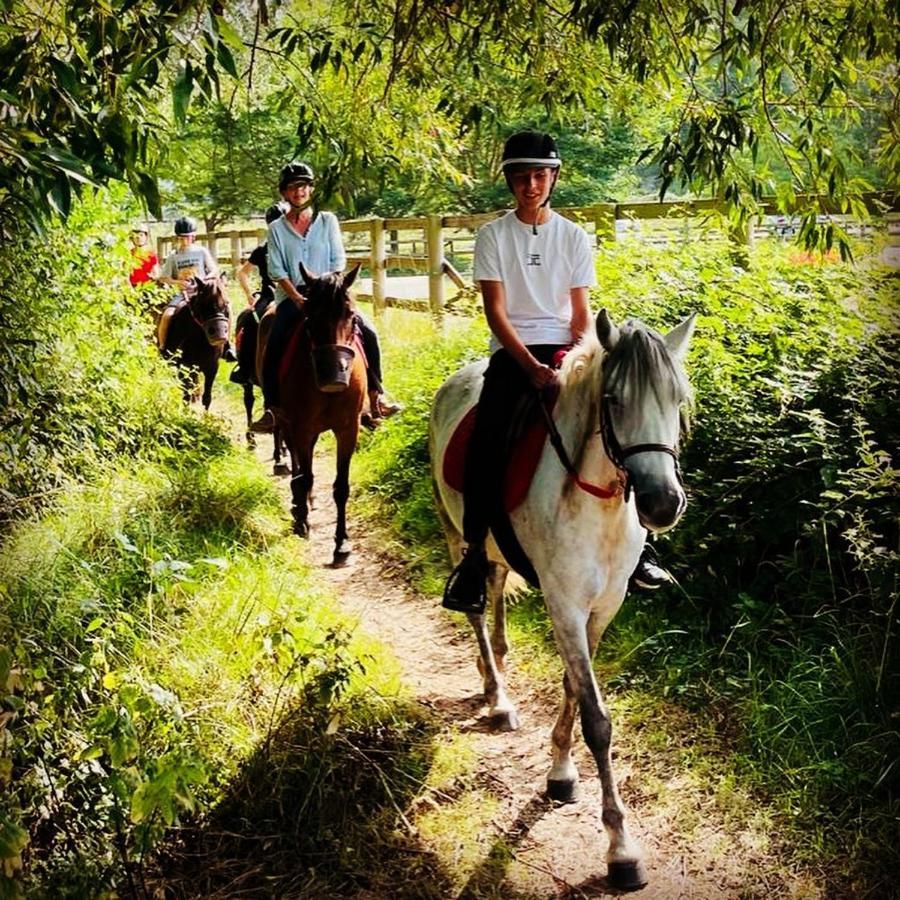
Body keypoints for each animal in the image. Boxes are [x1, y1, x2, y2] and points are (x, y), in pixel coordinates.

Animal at [278, 264, 370, 568]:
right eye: (310, 317)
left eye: (352, 316)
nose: (334, 375)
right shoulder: (302, 427)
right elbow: (305, 475)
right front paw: (302, 521)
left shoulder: (348, 430)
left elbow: (341, 487)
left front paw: (342, 544)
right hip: (287, 422)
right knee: (297, 465)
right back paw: (298, 504)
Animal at [428, 310, 696, 892]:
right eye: (613, 399)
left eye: (678, 398)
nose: (662, 504)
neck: (596, 504)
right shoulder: (564, 604)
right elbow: (597, 717)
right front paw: (620, 850)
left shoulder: (603, 607)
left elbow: (575, 686)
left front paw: (560, 772)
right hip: (457, 533)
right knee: (476, 606)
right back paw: (498, 698)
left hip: (495, 551)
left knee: (496, 592)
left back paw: (498, 674)